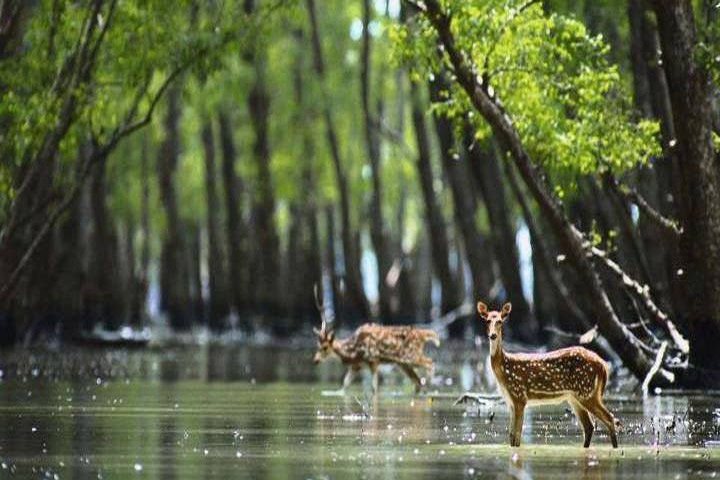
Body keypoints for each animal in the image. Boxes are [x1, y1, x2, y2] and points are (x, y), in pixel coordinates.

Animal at [478, 302, 620, 448]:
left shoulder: (519, 396)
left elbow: (517, 437)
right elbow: (511, 437)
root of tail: (603, 365)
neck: (503, 369)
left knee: (610, 419)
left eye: (500, 321)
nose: (493, 335)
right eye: (487, 320)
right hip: (576, 397)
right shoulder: (510, 401)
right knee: (590, 426)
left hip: (587, 392)